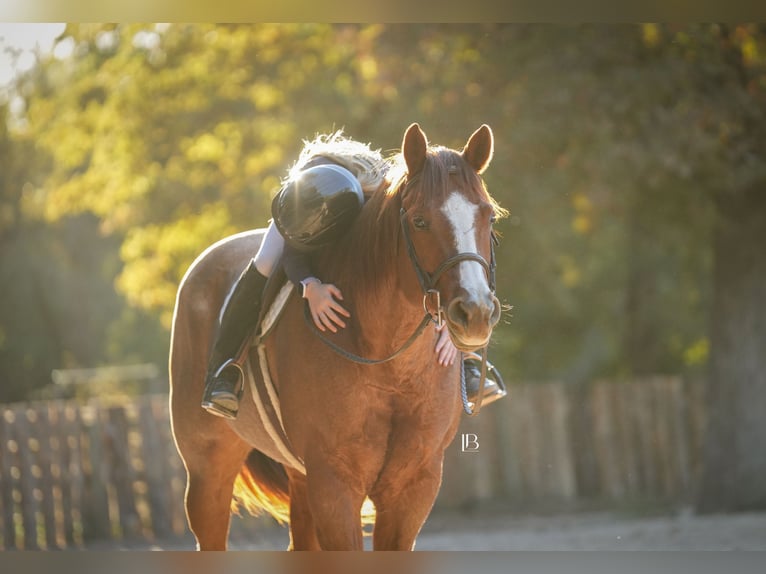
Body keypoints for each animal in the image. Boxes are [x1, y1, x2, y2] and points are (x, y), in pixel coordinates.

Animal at [169, 123, 504, 550]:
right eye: (419, 221)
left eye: (488, 216)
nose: (475, 313)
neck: (390, 364)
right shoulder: (334, 484)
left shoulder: (414, 485)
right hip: (208, 470)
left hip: (299, 476)